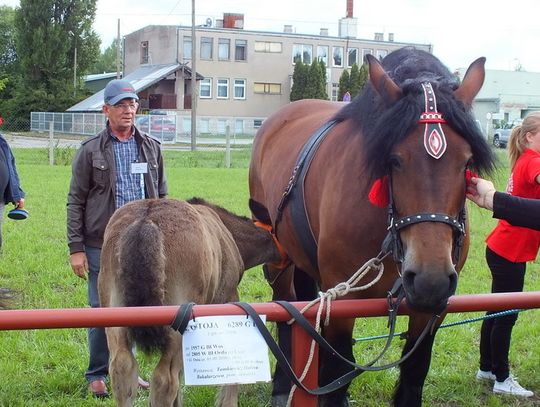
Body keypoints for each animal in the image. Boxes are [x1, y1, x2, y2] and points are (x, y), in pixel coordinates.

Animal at [248, 47, 494, 404]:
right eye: (394, 160)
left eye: (466, 162)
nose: (430, 280)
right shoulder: (342, 302)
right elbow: (337, 372)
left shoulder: (431, 312)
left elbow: (413, 373)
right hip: (281, 259)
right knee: (286, 314)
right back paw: (282, 385)